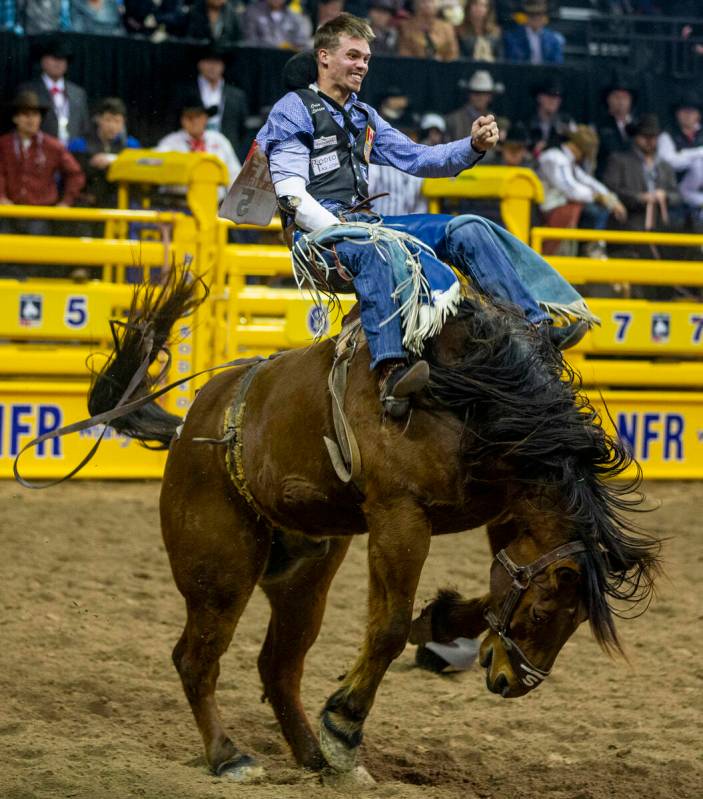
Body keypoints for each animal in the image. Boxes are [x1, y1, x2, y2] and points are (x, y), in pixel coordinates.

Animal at [86, 272, 660, 784]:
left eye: (576, 620)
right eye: (542, 612)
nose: (510, 682)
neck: (470, 401)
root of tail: (190, 425)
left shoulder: (507, 507)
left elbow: (490, 585)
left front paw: (439, 620)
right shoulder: (398, 515)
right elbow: (387, 629)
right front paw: (343, 726)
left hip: (305, 576)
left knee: (278, 665)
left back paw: (315, 759)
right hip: (219, 573)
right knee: (195, 659)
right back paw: (231, 756)